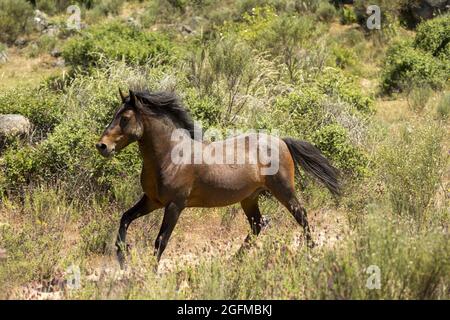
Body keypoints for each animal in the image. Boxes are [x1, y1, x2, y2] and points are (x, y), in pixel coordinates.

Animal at [96, 89, 340, 266]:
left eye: (125, 118)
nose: (102, 146)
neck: (169, 156)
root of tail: (281, 141)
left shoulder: (175, 205)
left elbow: (161, 241)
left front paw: (150, 272)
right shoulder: (152, 201)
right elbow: (125, 218)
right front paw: (122, 257)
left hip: (284, 191)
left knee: (301, 216)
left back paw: (311, 252)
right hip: (249, 198)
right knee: (257, 225)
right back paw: (234, 260)